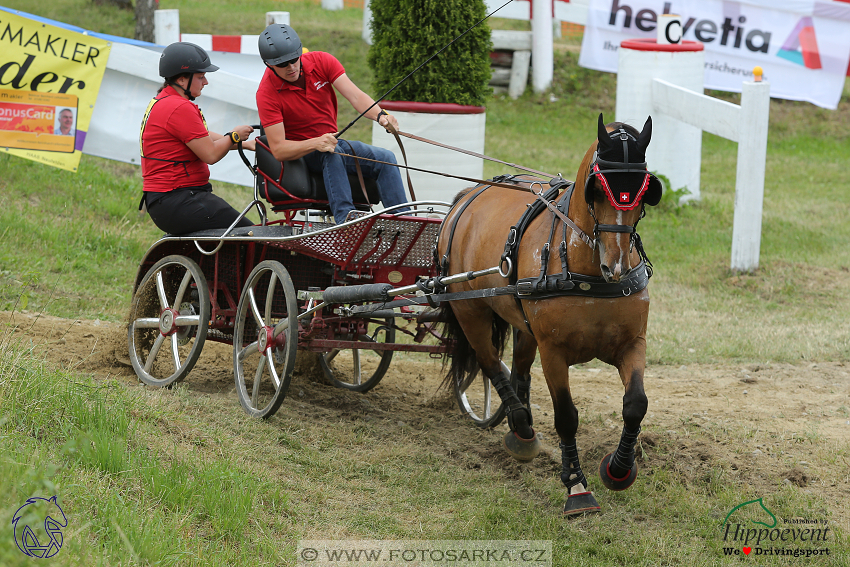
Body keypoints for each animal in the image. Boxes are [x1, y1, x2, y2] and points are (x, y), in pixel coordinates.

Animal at [438, 113, 664, 516]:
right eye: (597, 189)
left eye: (644, 191)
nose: (616, 266)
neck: (587, 272)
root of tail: (468, 197)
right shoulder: (554, 353)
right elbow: (566, 416)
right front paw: (576, 486)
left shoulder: (632, 343)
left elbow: (636, 405)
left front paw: (619, 469)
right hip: (470, 311)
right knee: (491, 363)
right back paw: (521, 428)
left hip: (524, 325)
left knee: (519, 370)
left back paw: (520, 428)